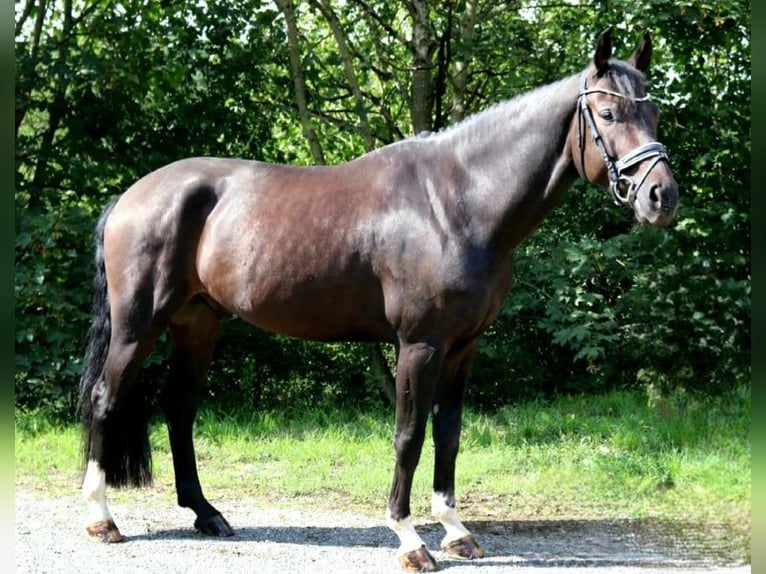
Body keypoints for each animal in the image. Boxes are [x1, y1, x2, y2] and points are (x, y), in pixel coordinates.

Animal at [78, 29, 680, 572]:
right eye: (607, 114)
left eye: (653, 114)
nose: (662, 197)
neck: (458, 202)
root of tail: (130, 196)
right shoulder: (419, 345)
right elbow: (409, 435)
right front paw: (410, 540)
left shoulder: (463, 347)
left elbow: (449, 433)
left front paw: (456, 532)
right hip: (139, 325)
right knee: (107, 398)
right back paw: (103, 519)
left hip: (198, 325)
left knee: (180, 409)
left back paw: (206, 514)